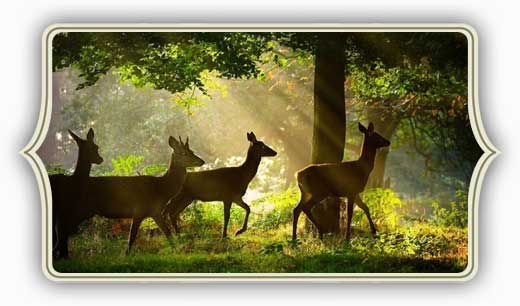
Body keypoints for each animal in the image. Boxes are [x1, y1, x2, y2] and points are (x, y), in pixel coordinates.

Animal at [50, 128, 103, 260]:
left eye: (96, 146)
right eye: (92, 148)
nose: (100, 159)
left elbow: (62, 235)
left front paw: (62, 256)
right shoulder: (63, 210)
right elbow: (61, 234)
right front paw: (63, 257)